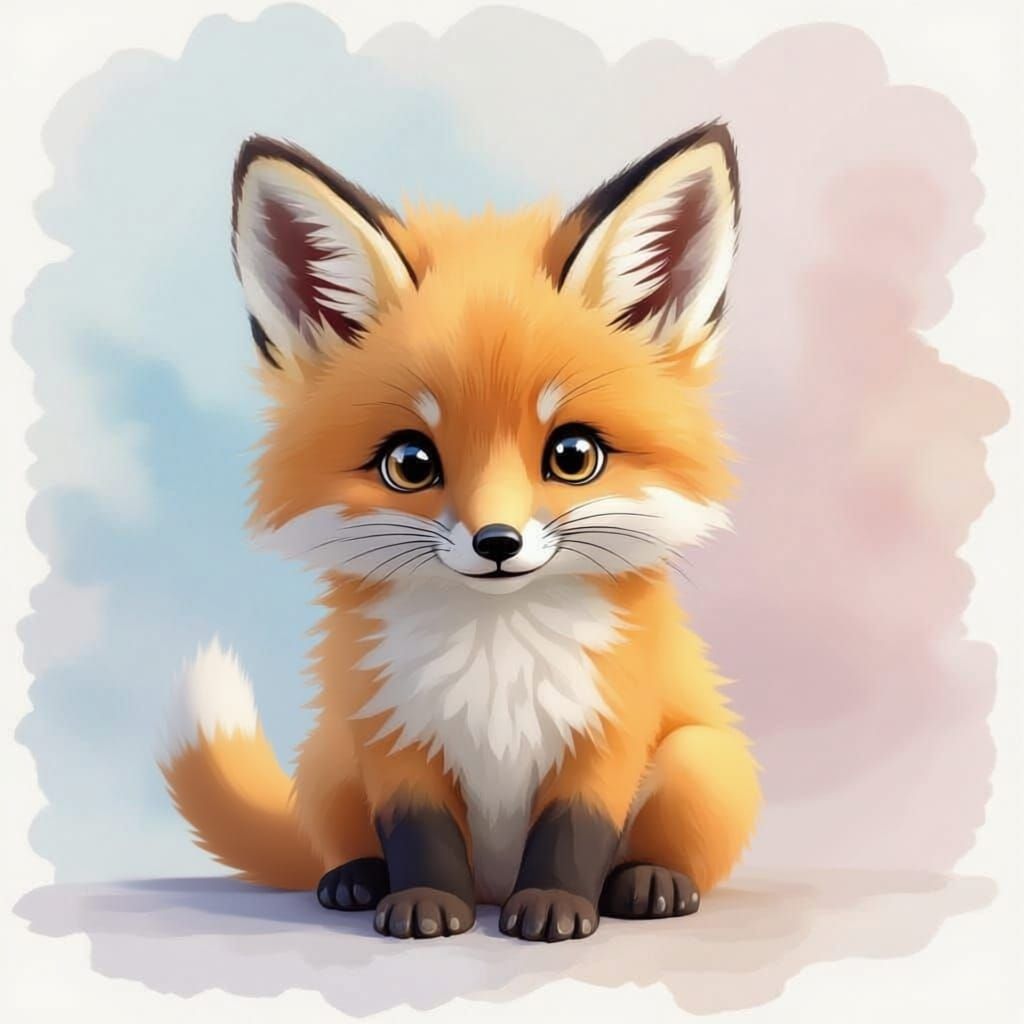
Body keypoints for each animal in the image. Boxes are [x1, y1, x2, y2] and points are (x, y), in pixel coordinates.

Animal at [159, 122, 761, 943]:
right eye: (410, 464)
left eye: (574, 456)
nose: (497, 543)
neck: (495, 653)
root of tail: (491, 887)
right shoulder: (389, 730)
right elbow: (420, 833)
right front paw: (422, 908)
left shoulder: (608, 727)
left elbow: (574, 833)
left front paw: (557, 909)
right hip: (330, 756)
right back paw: (355, 880)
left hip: (701, 758)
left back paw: (649, 883)